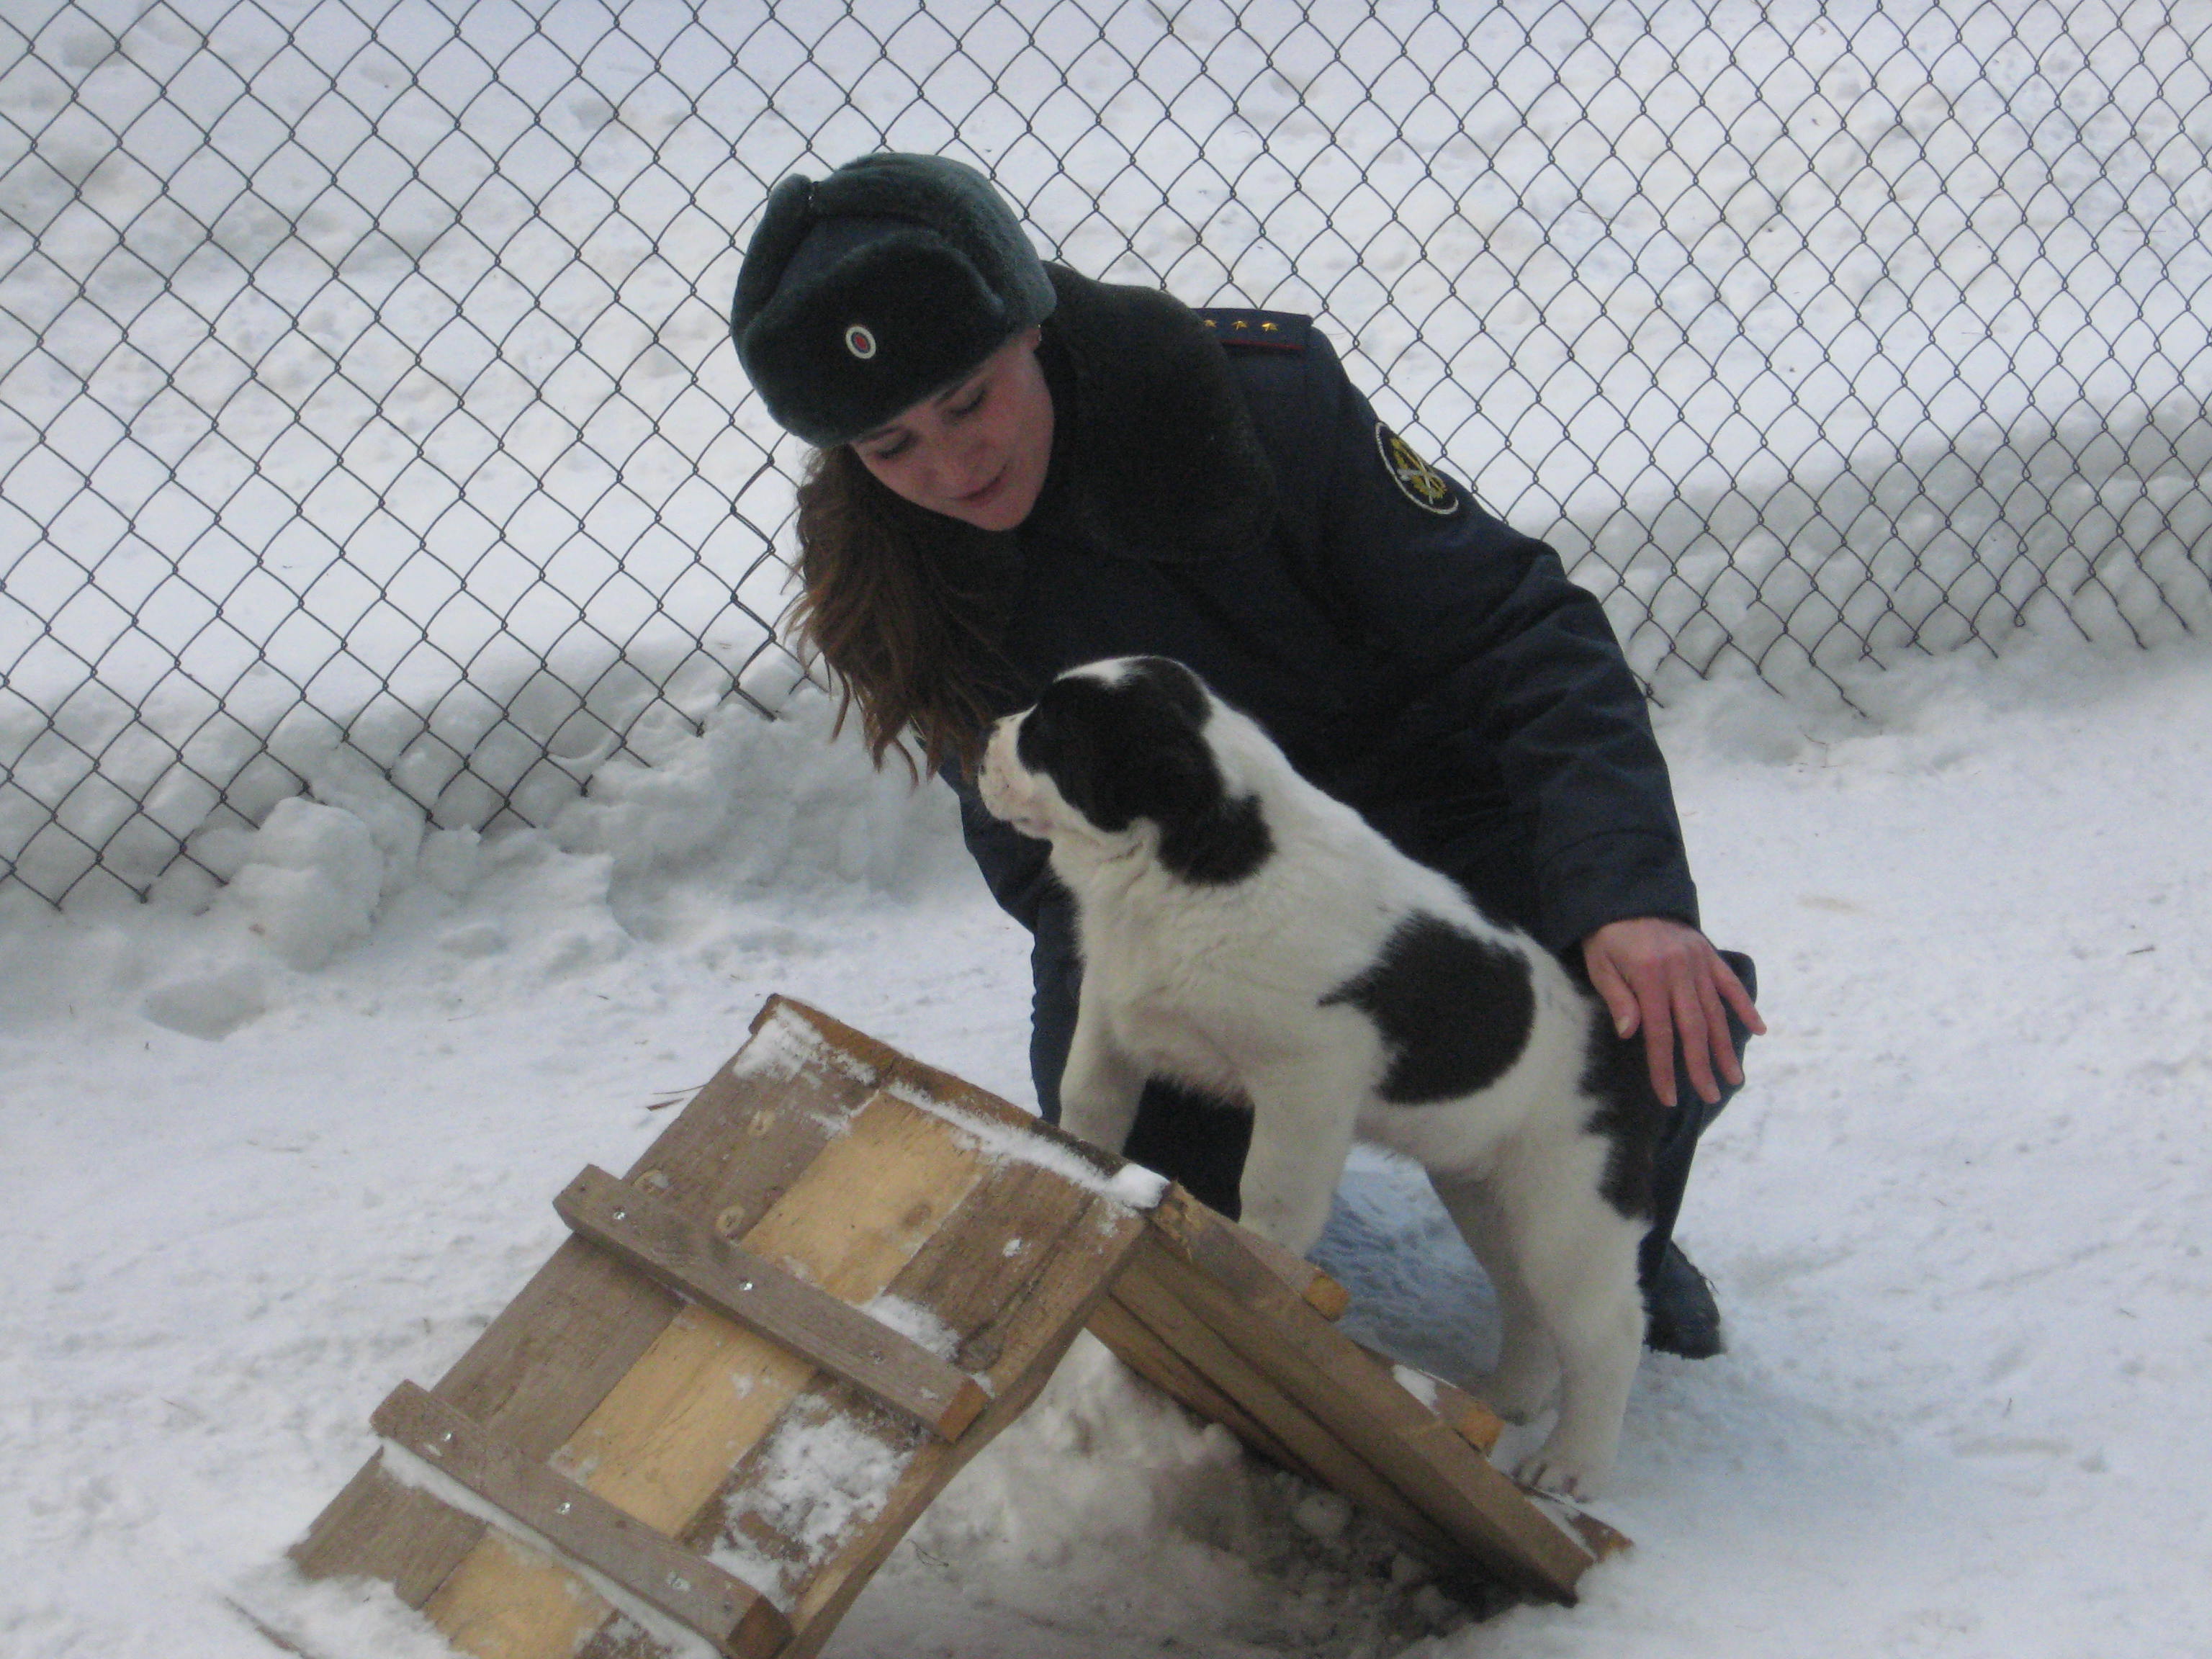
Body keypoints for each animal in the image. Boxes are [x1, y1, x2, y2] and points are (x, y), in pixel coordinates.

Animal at [986, 655, 1663, 1503]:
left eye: (1049, 731)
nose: (986, 735)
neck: (1203, 858)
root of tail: (1618, 1037)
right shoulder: (1113, 1016)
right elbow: (1089, 1100)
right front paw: (1078, 1161)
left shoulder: (1307, 1078)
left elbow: (1274, 1195)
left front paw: (1262, 1268)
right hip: (1490, 1195)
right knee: (1528, 1301)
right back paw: (1506, 1399)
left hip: (1572, 1205)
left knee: (1608, 1330)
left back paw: (1571, 1464)